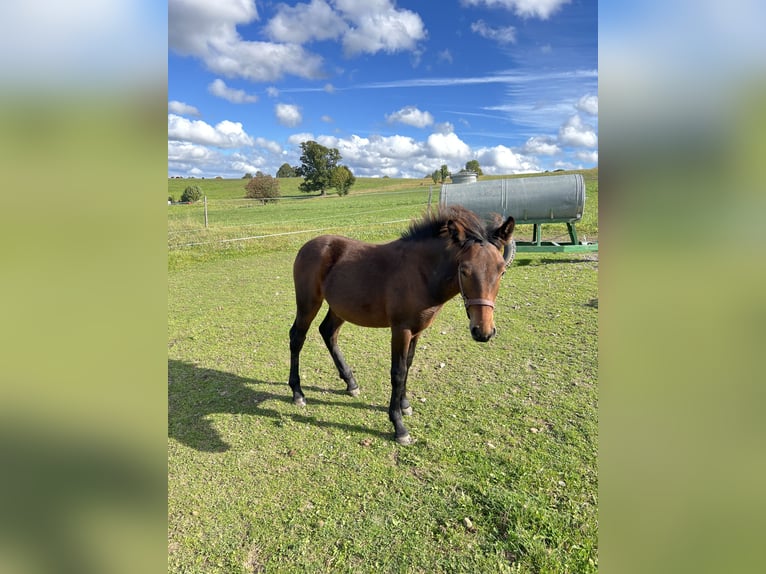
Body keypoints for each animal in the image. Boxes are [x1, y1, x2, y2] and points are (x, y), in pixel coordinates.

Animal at [288, 205, 515, 445]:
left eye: (502, 271)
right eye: (464, 270)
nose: (483, 332)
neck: (420, 273)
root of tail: (308, 245)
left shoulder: (417, 331)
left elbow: (408, 365)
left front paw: (404, 405)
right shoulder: (401, 330)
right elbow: (397, 372)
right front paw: (399, 425)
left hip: (340, 307)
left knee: (328, 332)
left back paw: (351, 383)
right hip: (308, 303)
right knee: (297, 337)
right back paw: (298, 393)